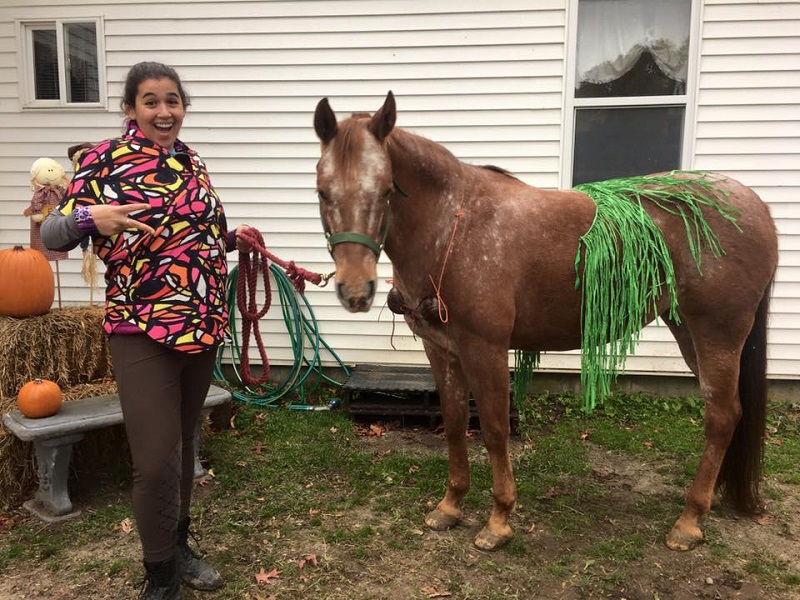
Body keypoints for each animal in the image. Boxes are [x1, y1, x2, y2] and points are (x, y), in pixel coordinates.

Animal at [316, 91, 780, 552]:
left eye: (385, 189)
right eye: (322, 192)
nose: (355, 290)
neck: (455, 225)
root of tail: (756, 206)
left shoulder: (485, 348)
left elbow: (494, 429)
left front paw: (499, 520)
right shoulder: (442, 349)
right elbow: (454, 424)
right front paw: (450, 506)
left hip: (717, 334)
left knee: (721, 416)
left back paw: (689, 520)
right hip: (688, 332)